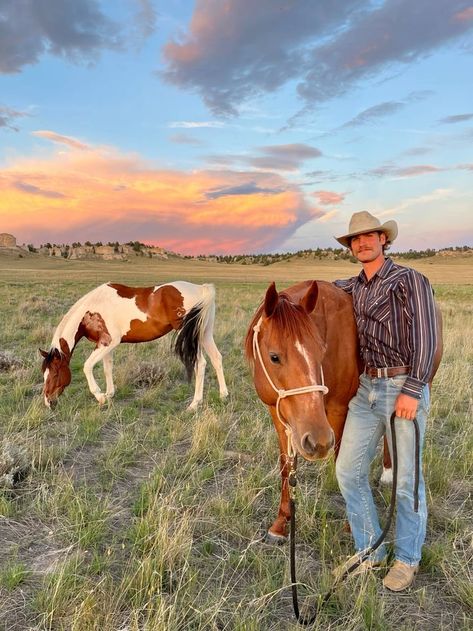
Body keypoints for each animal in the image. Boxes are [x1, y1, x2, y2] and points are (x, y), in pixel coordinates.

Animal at [39, 282, 228, 410]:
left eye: (55, 374)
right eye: (44, 374)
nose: (48, 401)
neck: (91, 310)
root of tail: (201, 289)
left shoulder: (108, 342)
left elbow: (87, 367)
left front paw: (100, 397)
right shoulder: (105, 344)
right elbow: (107, 368)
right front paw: (109, 394)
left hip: (190, 337)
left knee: (200, 363)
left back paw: (194, 404)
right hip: (204, 334)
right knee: (216, 358)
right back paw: (223, 395)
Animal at [243, 282, 442, 544]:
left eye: (321, 351)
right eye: (274, 357)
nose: (317, 441)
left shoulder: (339, 411)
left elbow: (342, 462)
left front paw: (352, 523)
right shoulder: (278, 417)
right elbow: (286, 467)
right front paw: (280, 523)